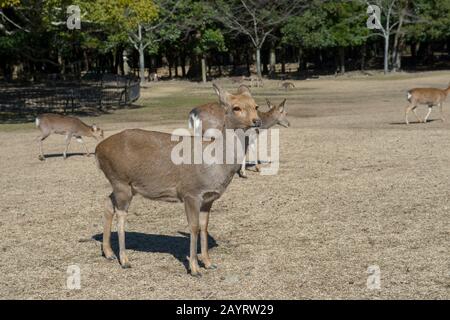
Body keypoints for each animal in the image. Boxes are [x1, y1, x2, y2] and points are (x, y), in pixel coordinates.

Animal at [96, 82, 262, 276]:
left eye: (256, 106)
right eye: (236, 107)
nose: (257, 121)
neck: (214, 165)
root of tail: (98, 149)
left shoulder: (208, 198)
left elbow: (204, 226)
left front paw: (209, 263)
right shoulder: (190, 192)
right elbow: (194, 227)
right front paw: (195, 268)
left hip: (124, 185)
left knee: (108, 202)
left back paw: (109, 253)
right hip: (120, 180)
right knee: (121, 213)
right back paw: (124, 260)